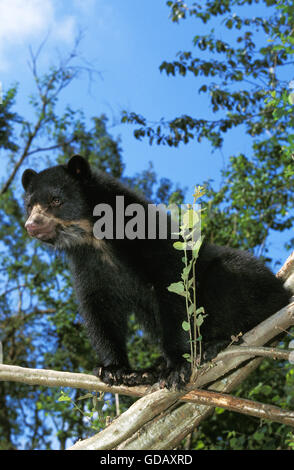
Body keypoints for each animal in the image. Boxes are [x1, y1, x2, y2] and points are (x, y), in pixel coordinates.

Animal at [21, 156, 292, 388]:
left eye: (55, 200)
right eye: (30, 205)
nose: (31, 225)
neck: (95, 237)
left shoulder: (149, 238)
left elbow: (173, 285)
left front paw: (176, 368)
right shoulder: (88, 264)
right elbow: (98, 306)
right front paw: (114, 369)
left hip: (247, 279)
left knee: (227, 281)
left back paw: (215, 343)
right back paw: (149, 370)